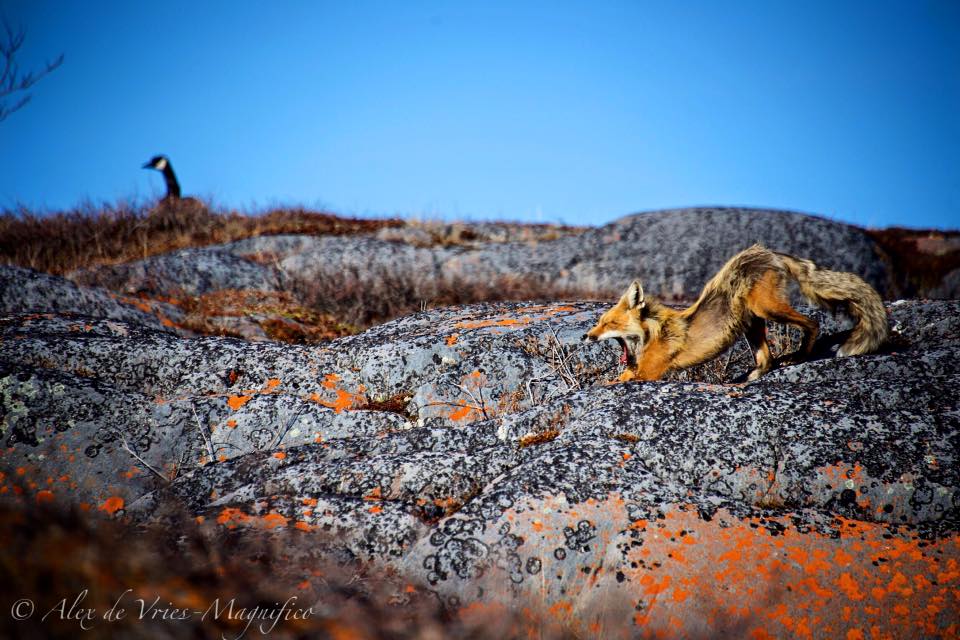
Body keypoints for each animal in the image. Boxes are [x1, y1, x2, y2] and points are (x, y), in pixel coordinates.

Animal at [582, 244, 889, 382]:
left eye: (609, 323)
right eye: (599, 322)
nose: (586, 336)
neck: (652, 334)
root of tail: (768, 252)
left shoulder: (649, 374)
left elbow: (616, 381)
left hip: (767, 308)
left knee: (812, 323)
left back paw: (800, 356)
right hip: (752, 323)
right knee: (766, 359)